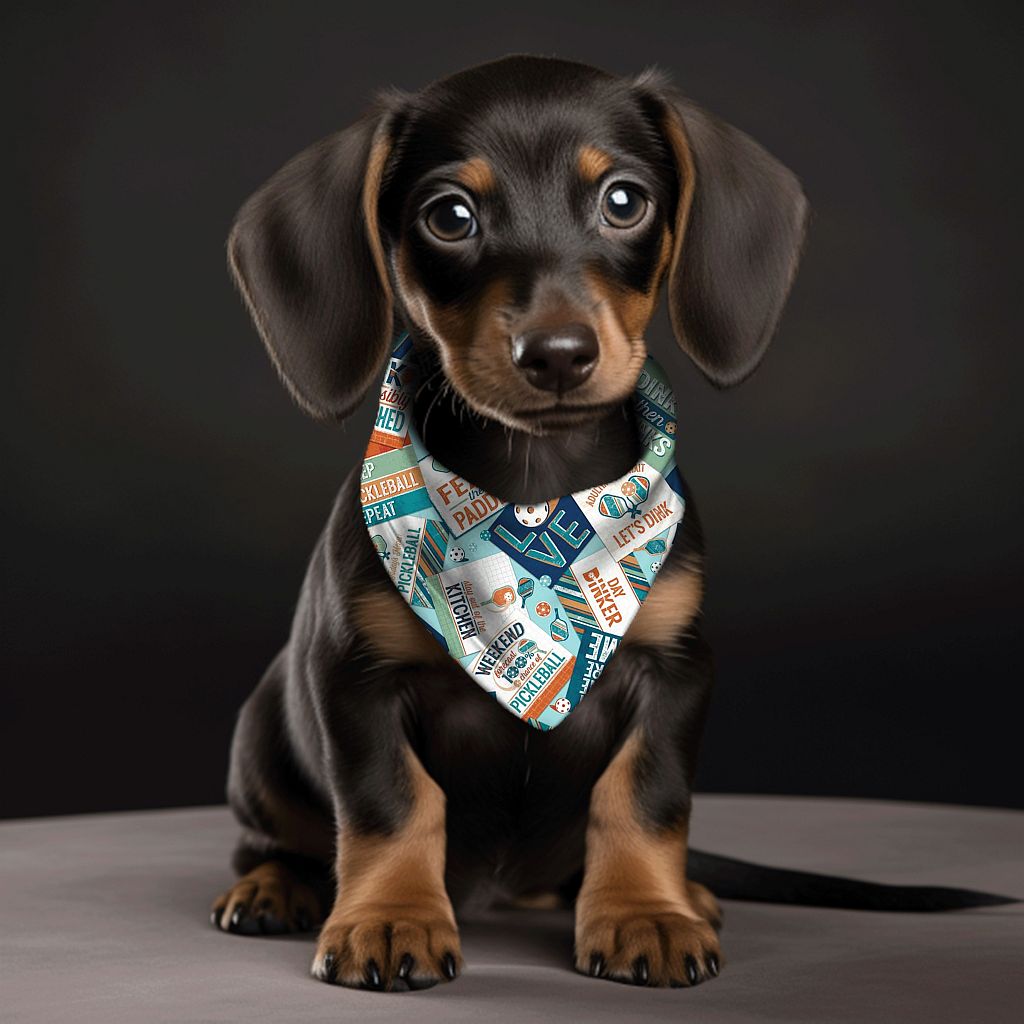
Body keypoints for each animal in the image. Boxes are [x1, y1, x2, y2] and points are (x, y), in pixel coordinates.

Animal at [209, 54, 1007, 991]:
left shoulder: (674, 668)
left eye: (624, 200)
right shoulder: (355, 678)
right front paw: (390, 918)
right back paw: (274, 886)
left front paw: (645, 915)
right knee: (275, 839)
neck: (536, 493)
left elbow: (643, 798)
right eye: (450, 216)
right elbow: (390, 803)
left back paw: (685, 893)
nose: (557, 354)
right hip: (264, 734)